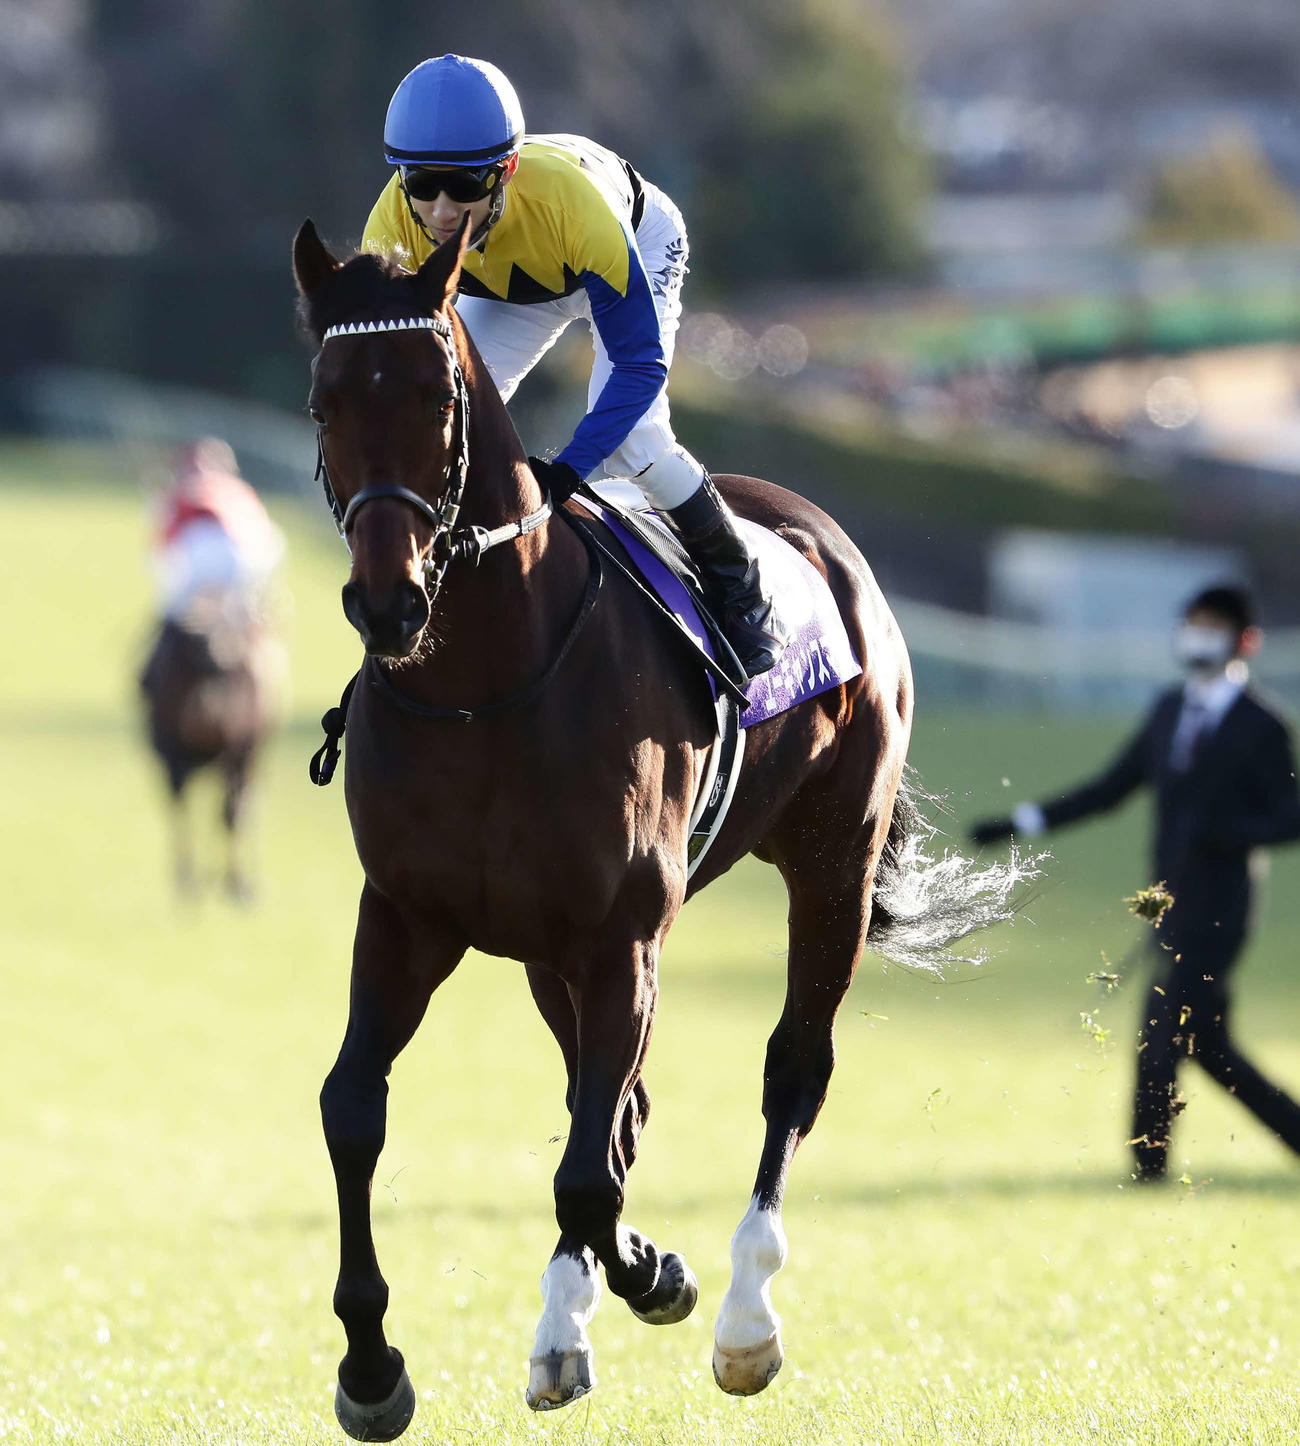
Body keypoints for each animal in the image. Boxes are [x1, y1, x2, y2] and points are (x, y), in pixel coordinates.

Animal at [293, 211, 1027, 1440]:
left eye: (438, 399)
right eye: (324, 401)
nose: (388, 604)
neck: (486, 679)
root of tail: (821, 535)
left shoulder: (622, 933)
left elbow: (590, 1172)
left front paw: (656, 1277)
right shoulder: (407, 916)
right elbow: (358, 1113)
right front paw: (369, 1365)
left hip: (831, 862)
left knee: (791, 1070)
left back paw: (740, 1316)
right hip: (548, 953)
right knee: (617, 1109)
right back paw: (569, 1323)